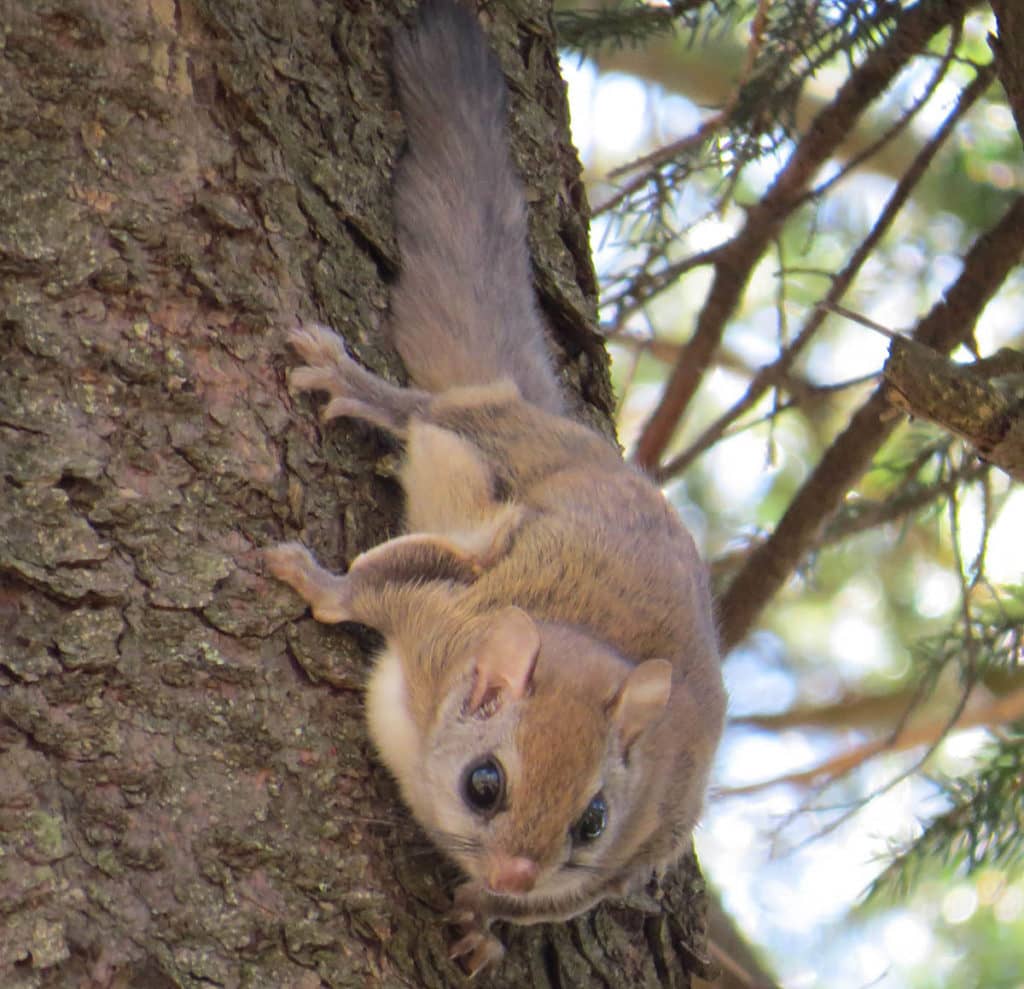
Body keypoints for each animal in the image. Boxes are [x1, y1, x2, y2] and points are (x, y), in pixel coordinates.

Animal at [266, 0, 729, 974]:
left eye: (593, 820)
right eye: (486, 784)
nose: (517, 870)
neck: (584, 643)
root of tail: (569, 433)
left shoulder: (632, 849)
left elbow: (555, 901)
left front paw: (485, 918)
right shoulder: (437, 612)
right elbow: (365, 589)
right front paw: (313, 578)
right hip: (482, 442)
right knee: (423, 412)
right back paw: (357, 386)